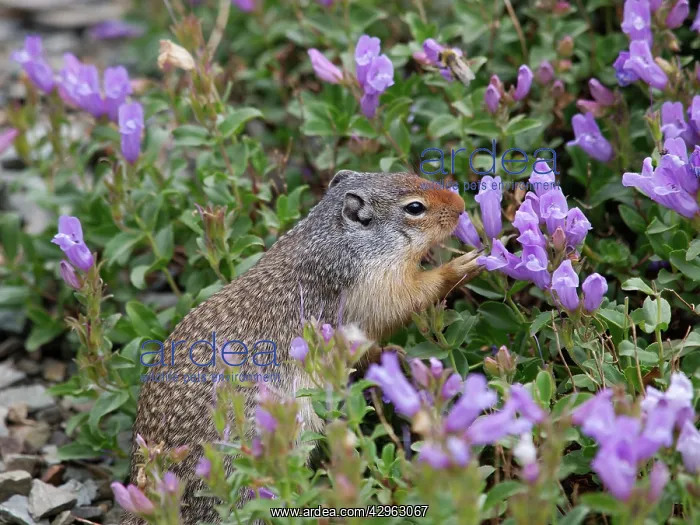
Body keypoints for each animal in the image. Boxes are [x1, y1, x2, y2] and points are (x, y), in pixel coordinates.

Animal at [121, 170, 483, 525]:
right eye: (415, 208)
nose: (462, 204)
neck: (336, 242)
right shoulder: (377, 289)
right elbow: (410, 298)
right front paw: (462, 265)